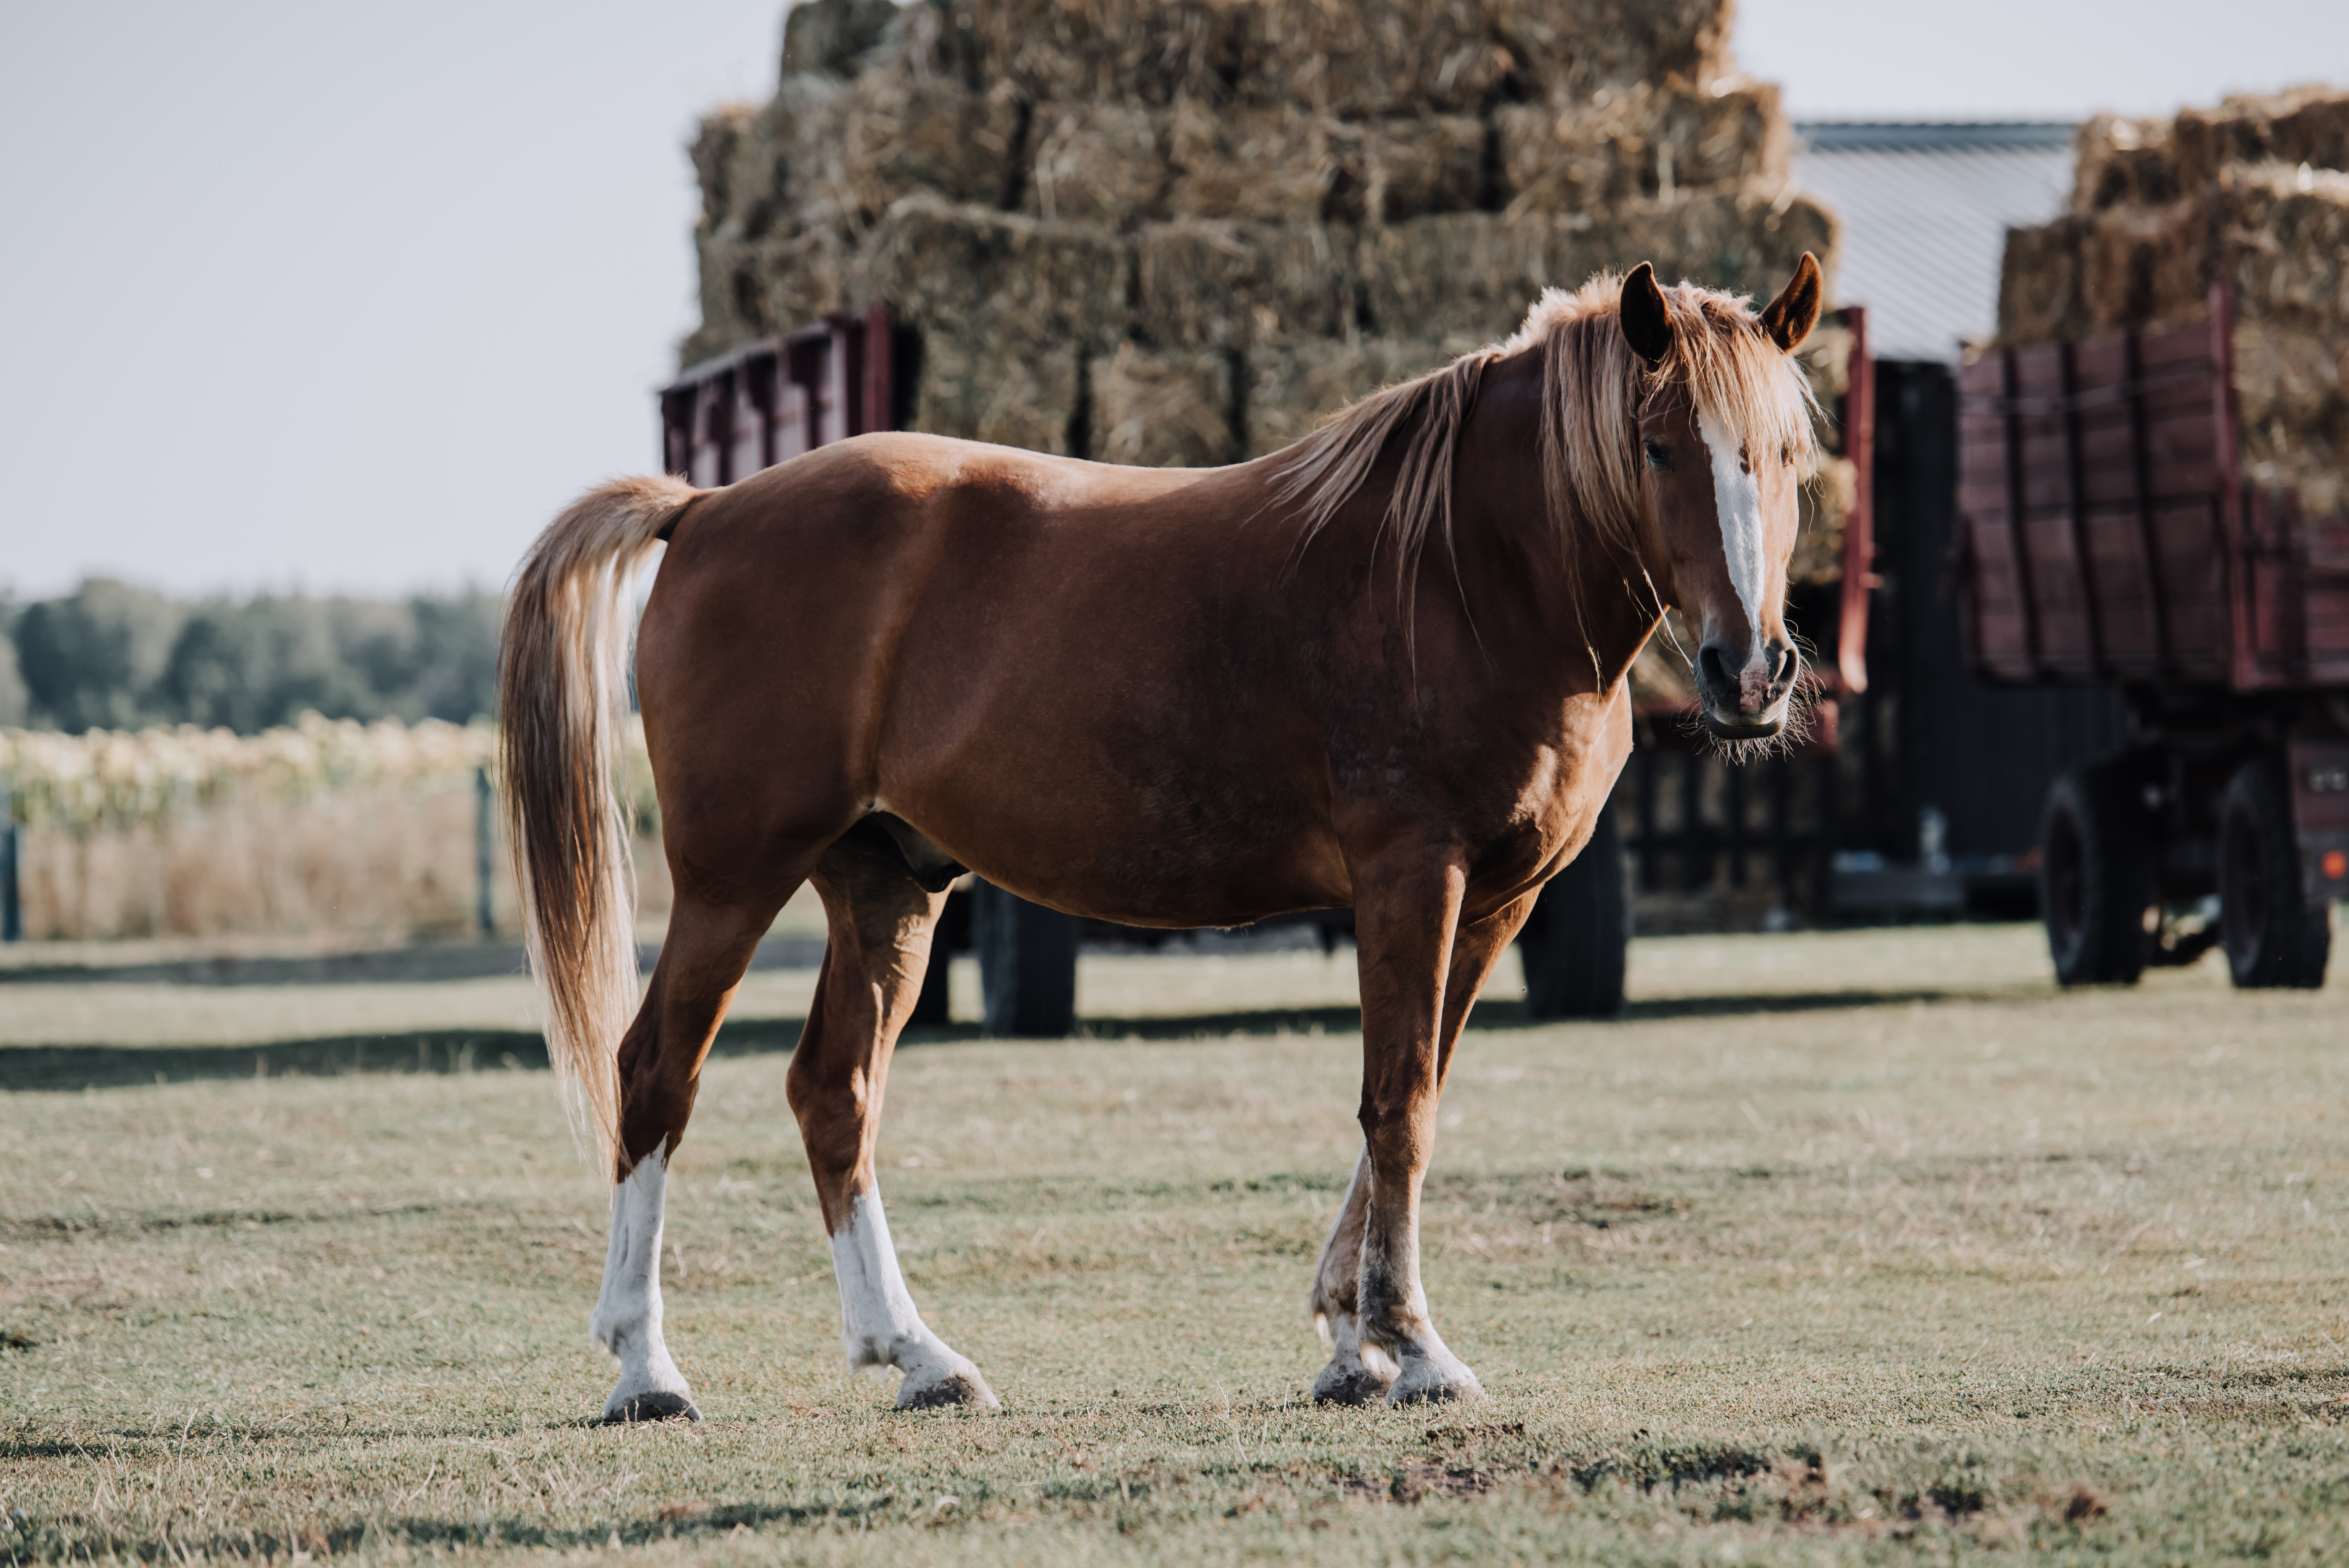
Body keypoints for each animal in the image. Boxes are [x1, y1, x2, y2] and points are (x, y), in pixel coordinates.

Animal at [499, 255, 1824, 1420]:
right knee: (654, 1075)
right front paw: (1412, 1346)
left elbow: (1414, 1091)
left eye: (1790, 454)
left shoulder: (1499, 898)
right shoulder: (1414, 877)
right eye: (1658, 446)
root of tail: (709, 508)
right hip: (734, 878)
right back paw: (647, 1369)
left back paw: (918, 1356)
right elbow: (1399, 1103)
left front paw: (1349, 1338)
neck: (1465, 569)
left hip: (888, 886)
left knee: (835, 1091)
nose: (1750, 671)